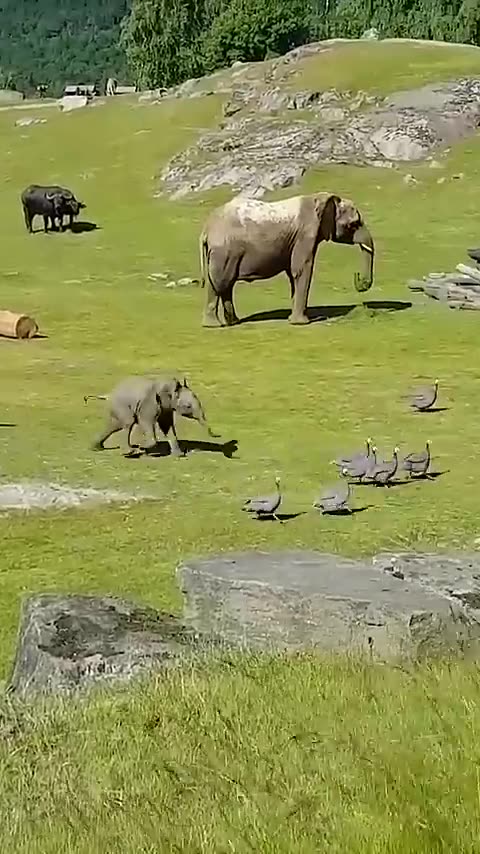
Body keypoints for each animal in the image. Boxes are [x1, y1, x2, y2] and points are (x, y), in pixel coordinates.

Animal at [84, 375, 217, 455]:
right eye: (188, 406)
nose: (217, 435)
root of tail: (108, 394)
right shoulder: (149, 403)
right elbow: (145, 422)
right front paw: (144, 447)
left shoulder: (166, 408)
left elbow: (167, 425)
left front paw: (179, 456)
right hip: (121, 406)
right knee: (127, 423)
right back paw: (131, 451)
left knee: (114, 425)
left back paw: (96, 448)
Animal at [199, 192, 375, 327]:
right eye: (354, 225)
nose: (358, 278)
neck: (321, 198)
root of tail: (206, 229)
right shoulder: (305, 235)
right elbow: (302, 270)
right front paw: (301, 323)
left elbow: (293, 274)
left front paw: (293, 319)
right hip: (224, 252)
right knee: (220, 283)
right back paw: (214, 325)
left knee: (224, 284)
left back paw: (233, 322)